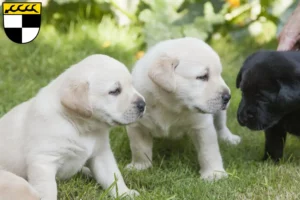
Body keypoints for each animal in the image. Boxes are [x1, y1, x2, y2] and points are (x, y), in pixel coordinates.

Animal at [0, 54, 145, 199]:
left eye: (132, 85)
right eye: (115, 91)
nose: (143, 104)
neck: (79, 126)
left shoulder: (101, 153)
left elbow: (113, 177)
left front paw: (125, 193)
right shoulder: (44, 161)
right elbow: (49, 189)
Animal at [125, 36, 240, 180]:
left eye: (219, 74)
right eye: (202, 77)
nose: (228, 96)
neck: (170, 104)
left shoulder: (202, 125)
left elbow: (208, 150)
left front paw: (214, 173)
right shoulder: (137, 125)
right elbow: (139, 148)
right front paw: (140, 167)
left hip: (219, 113)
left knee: (221, 125)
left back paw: (229, 138)